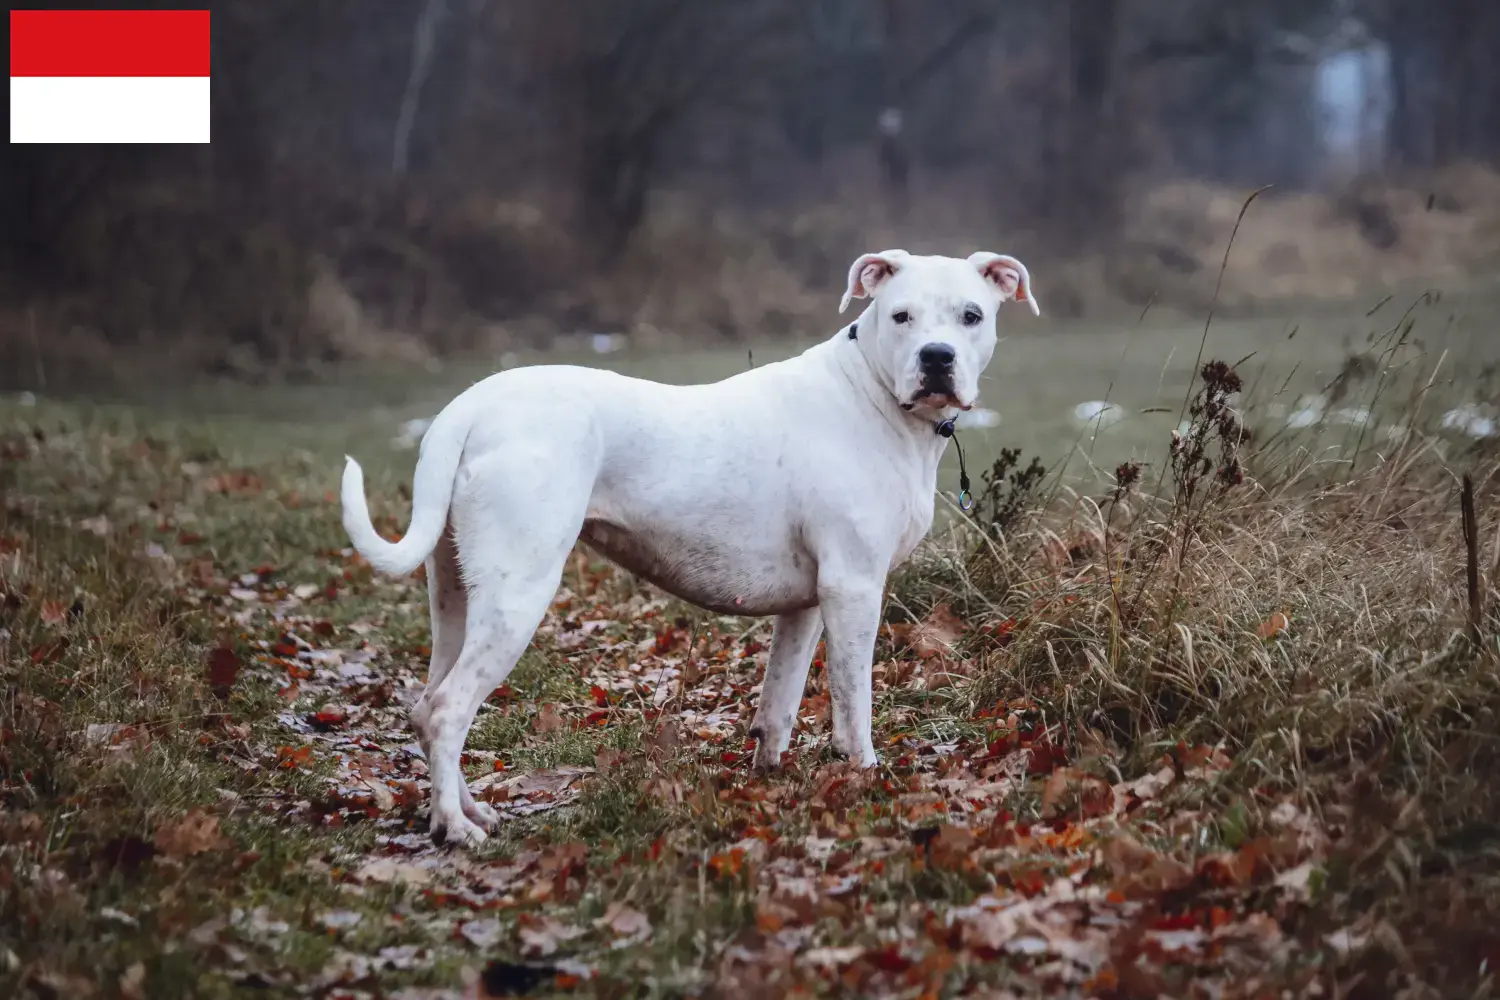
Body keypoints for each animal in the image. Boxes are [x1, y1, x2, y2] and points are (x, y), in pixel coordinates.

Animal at [343, 250, 1038, 845]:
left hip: (456, 596)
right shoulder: (855, 589)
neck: (873, 394)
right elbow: (852, 701)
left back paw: (466, 810)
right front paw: (863, 774)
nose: (937, 357)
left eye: (971, 316)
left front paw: (771, 778)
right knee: (447, 711)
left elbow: (780, 702)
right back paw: (453, 829)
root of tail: (470, 405)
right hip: (518, 593)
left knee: (428, 704)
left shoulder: (808, 604)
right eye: (901, 317)